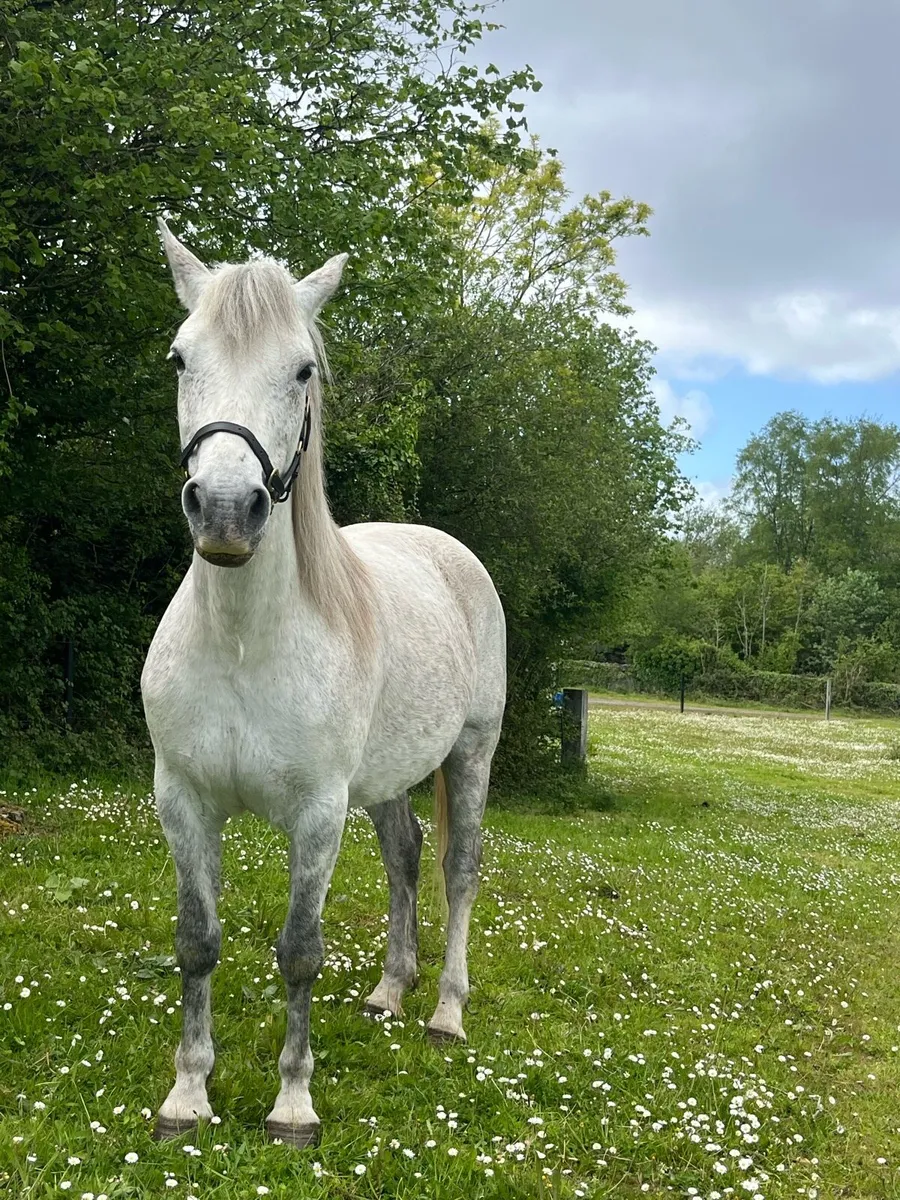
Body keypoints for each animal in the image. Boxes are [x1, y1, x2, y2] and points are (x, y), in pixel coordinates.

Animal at [140, 220, 507, 1148]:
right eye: (180, 357)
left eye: (303, 369)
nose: (225, 511)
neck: (245, 644)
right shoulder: (182, 800)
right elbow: (196, 941)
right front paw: (188, 1095)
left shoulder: (315, 814)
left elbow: (300, 951)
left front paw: (293, 1105)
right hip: (385, 781)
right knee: (406, 857)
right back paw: (388, 991)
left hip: (472, 753)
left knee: (457, 869)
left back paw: (445, 1012)